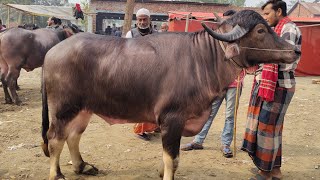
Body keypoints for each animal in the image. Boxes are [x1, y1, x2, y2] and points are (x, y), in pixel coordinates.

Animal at [41, 10, 302, 179]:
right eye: (260, 30)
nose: (295, 50)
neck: (203, 58)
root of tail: (52, 52)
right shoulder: (172, 118)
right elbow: (172, 159)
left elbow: (170, 157)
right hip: (63, 108)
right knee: (55, 138)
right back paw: (57, 174)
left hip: (84, 108)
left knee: (73, 136)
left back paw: (82, 166)